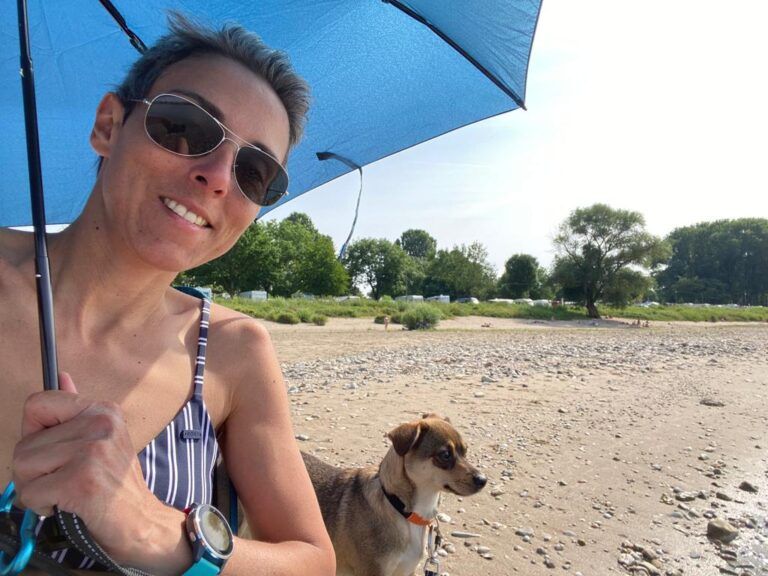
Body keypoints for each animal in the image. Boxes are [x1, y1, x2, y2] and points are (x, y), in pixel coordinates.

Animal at [296, 414, 484, 576]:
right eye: (445, 455)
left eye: (465, 451)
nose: (483, 480)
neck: (403, 509)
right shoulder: (374, 571)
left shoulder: (407, 571)